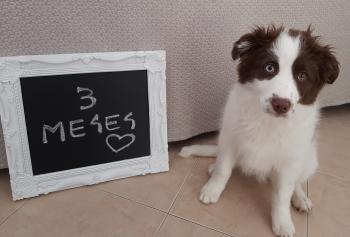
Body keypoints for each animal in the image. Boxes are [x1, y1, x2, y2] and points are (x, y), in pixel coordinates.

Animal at [180, 25, 340, 237]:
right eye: (269, 68)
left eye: (302, 76)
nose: (281, 105)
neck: (268, 122)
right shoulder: (230, 137)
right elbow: (224, 169)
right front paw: (212, 189)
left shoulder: (290, 159)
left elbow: (283, 194)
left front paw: (283, 222)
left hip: (309, 159)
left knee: (297, 181)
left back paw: (300, 198)